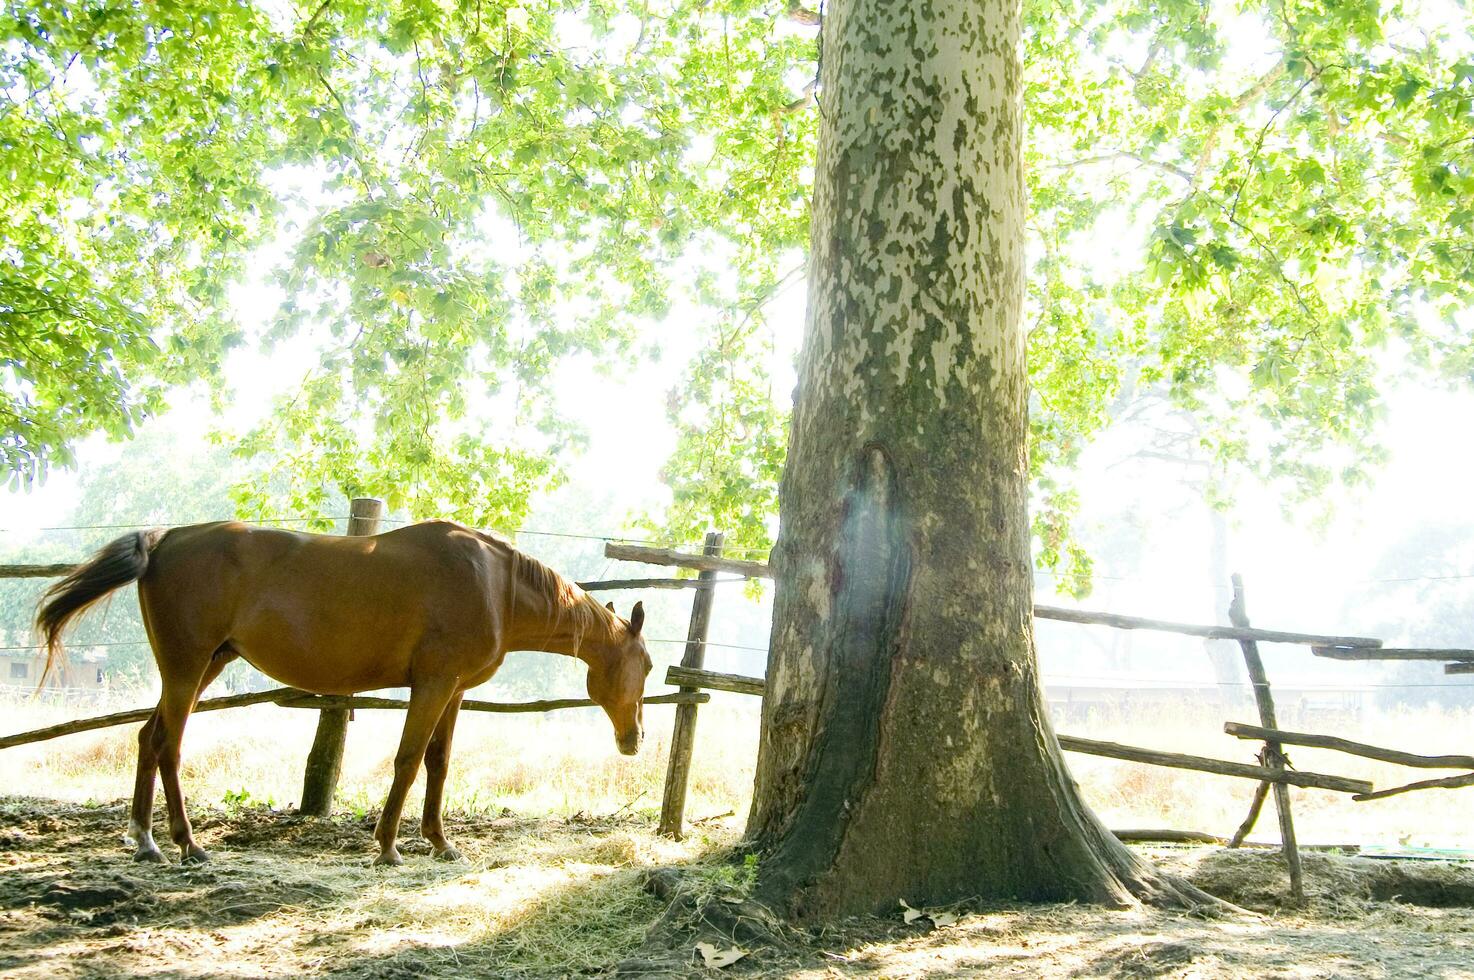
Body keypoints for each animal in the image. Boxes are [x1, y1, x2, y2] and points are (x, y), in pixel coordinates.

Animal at [31, 518, 645, 866]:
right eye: (645, 664)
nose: (634, 739)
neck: (495, 583)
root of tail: (163, 539)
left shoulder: (453, 691)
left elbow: (439, 763)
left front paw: (440, 842)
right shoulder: (433, 685)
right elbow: (407, 760)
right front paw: (389, 846)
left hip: (202, 667)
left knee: (147, 737)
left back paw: (145, 840)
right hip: (186, 670)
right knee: (168, 746)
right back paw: (187, 843)